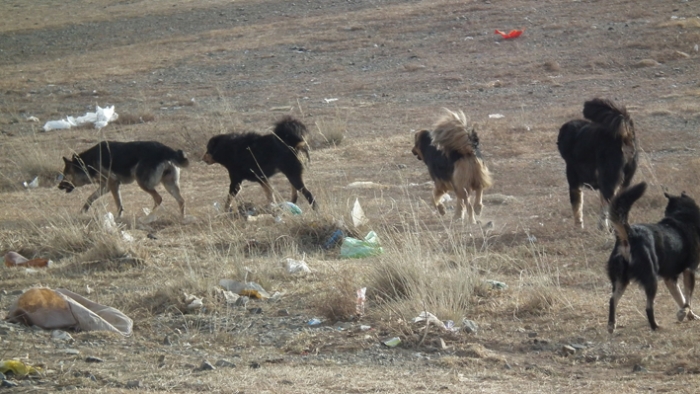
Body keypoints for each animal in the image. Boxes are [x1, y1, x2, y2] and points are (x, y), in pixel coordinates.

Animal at [58, 141, 189, 217]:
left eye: (65, 174)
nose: (58, 186)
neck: (87, 163)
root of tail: (165, 150)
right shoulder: (105, 186)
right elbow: (90, 198)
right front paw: (83, 211)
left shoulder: (113, 183)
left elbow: (118, 203)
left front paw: (118, 218)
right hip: (169, 184)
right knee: (181, 200)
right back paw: (182, 218)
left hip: (142, 182)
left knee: (158, 198)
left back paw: (148, 217)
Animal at [556, 97, 640, 229]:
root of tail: (624, 137)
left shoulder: (574, 181)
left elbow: (577, 207)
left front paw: (578, 227)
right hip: (624, 181)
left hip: (609, 181)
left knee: (607, 206)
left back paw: (604, 226)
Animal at [608, 182, 700, 332]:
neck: (682, 216)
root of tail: (630, 234)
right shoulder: (689, 270)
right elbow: (688, 299)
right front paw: (685, 313)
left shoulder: (670, 278)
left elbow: (680, 298)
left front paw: (687, 314)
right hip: (651, 279)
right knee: (648, 307)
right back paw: (655, 326)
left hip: (621, 280)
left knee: (612, 300)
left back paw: (611, 325)